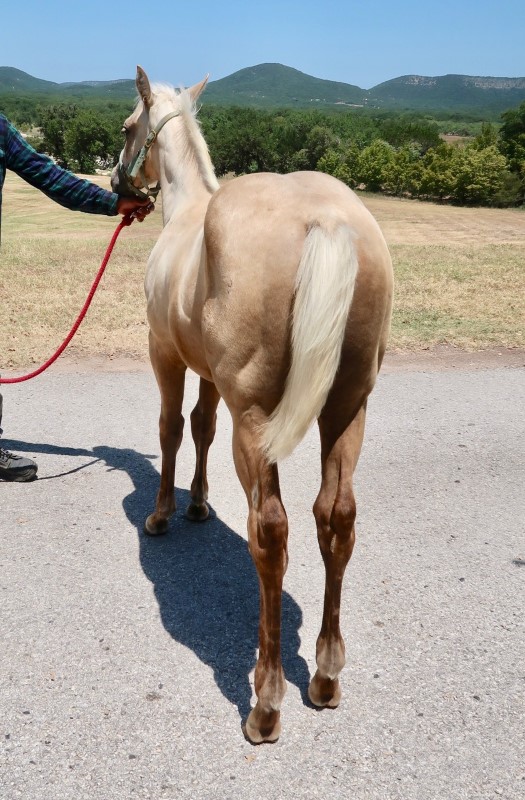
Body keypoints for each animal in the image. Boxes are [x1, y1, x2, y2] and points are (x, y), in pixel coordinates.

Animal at [110, 69, 390, 744]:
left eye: (128, 128)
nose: (116, 184)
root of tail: (326, 219)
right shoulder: (212, 376)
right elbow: (202, 428)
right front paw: (199, 504)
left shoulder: (165, 354)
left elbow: (171, 428)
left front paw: (163, 514)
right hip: (347, 410)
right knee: (336, 518)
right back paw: (325, 675)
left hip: (258, 422)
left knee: (272, 532)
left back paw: (266, 700)